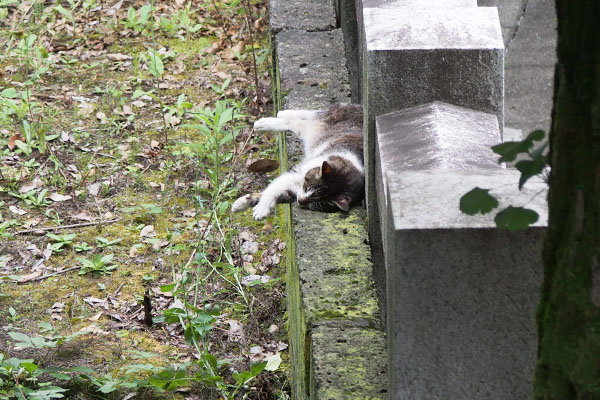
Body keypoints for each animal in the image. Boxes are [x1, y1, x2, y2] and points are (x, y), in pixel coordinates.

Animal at [231, 103, 364, 220]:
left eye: (316, 205)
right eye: (307, 188)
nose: (300, 201)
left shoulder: (295, 189)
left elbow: (281, 195)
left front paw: (244, 204)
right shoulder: (298, 174)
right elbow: (273, 189)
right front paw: (260, 208)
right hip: (320, 124)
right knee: (299, 120)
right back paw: (272, 119)